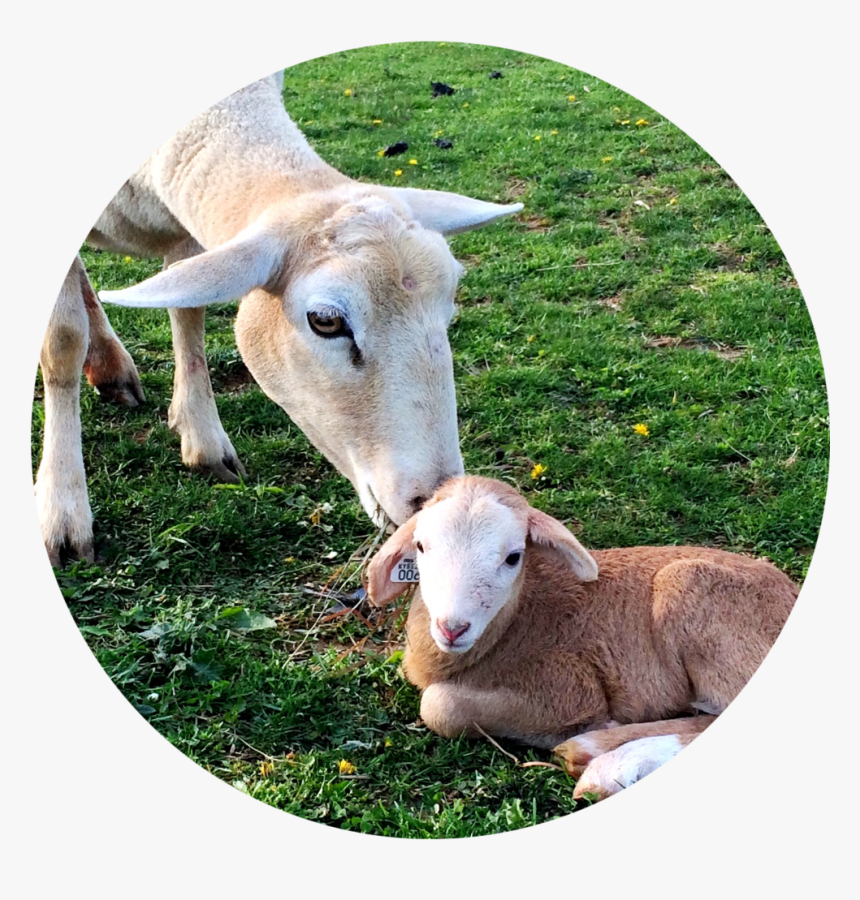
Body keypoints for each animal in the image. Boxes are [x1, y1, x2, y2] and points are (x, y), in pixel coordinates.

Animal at [36, 71, 522, 563]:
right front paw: (63, 511)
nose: (438, 502)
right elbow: (63, 339)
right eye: (325, 320)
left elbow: (187, 308)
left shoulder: (189, 200)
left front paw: (203, 439)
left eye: (449, 305)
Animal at [365, 475, 798, 802]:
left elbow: (439, 706)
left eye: (513, 556)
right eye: (421, 546)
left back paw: (606, 760)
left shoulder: (568, 684)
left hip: (695, 592)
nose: (452, 628)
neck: (515, 623)